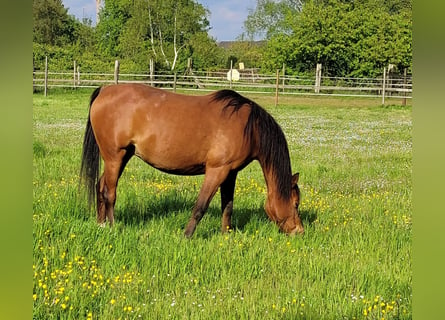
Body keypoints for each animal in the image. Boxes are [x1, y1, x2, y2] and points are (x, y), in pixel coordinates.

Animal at [80, 84, 304, 236]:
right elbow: (200, 206)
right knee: (109, 193)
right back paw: (112, 226)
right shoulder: (217, 170)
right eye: (295, 204)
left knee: (100, 186)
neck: (249, 127)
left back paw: (100, 224)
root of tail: (105, 90)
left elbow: (228, 206)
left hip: (122, 156)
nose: (299, 231)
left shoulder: (230, 173)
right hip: (114, 156)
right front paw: (186, 236)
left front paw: (225, 236)